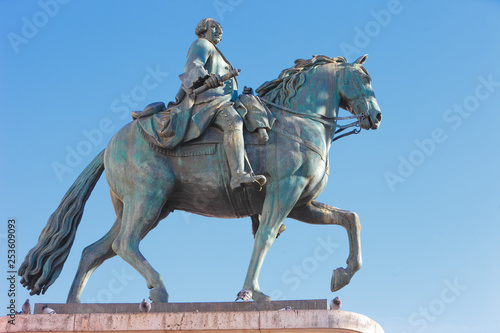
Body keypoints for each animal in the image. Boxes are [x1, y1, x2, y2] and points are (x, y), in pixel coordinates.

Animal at [17, 53, 380, 300]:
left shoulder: (302, 203)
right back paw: (159, 289)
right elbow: (265, 237)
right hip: (148, 200)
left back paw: (72, 307)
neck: (297, 122)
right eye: (365, 79)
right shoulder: (284, 191)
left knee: (94, 251)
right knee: (124, 244)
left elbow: (351, 219)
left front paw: (342, 275)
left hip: (141, 207)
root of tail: (113, 142)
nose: (376, 116)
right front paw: (250, 293)